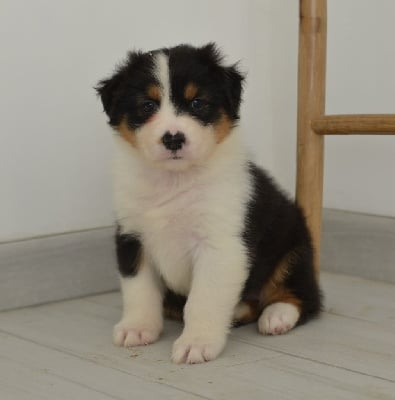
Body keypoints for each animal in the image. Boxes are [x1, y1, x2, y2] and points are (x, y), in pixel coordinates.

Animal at [96, 42, 322, 364]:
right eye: (147, 106)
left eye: (197, 103)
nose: (173, 139)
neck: (175, 181)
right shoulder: (132, 236)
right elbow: (139, 289)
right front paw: (137, 328)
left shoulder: (220, 243)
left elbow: (204, 299)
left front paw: (197, 342)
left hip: (293, 246)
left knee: (305, 296)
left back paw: (277, 316)